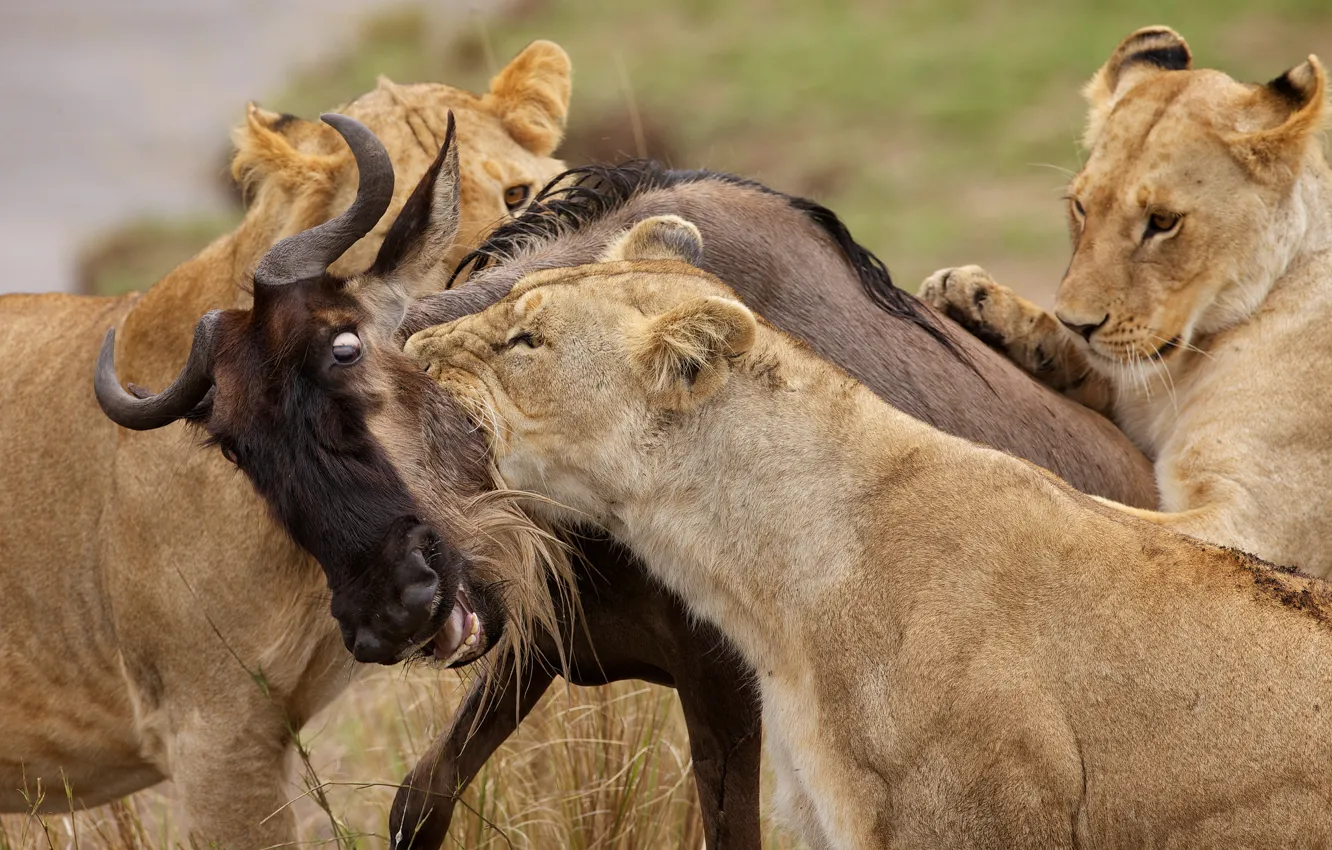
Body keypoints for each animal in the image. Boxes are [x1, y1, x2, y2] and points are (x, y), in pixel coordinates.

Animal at [921, 24, 1332, 580]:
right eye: (1080, 206)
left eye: (1162, 222)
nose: (1079, 323)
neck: (1182, 370)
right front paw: (973, 297)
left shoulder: (1256, 526)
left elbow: (1099, 518)